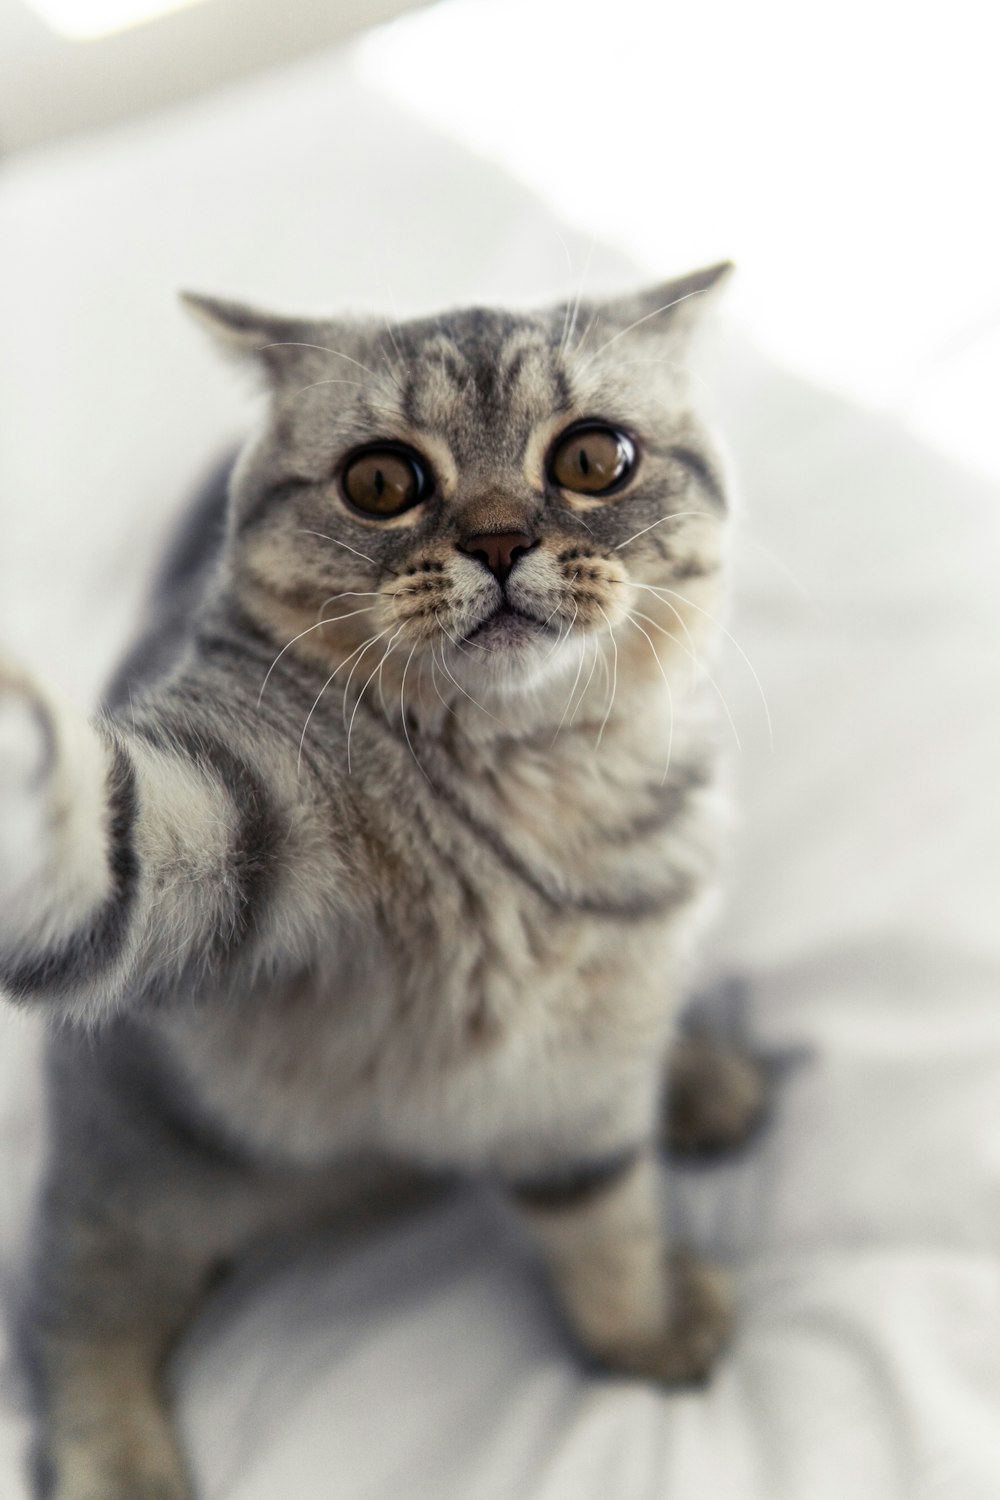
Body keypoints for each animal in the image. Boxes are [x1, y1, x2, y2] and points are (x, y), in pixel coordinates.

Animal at [1, 270, 767, 1500]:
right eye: (380, 482)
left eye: (594, 458)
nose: (500, 539)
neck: (524, 776)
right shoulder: (229, 816)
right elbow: (107, 815)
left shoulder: (582, 1067)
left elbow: (605, 1220)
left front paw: (641, 1328)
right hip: (143, 1182)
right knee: (76, 1308)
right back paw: (119, 1461)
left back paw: (701, 1074)